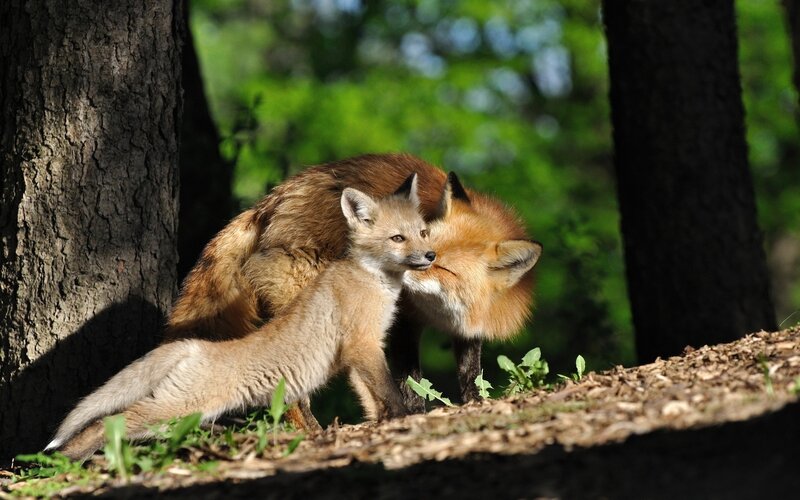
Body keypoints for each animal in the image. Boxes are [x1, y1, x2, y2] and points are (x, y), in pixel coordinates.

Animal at [46, 175, 434, 460]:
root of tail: (194, 346)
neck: (371, 279)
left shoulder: (355, 354)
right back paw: (63, 460)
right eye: (397, 238)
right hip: (179, 405)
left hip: (183, 413)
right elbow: (389, 392)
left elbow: (371, 398)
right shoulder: (362, 344)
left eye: (422, 232)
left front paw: (378, 424)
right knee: (107, 422)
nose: (430, 255)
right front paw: (406, 419)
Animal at [164, 153, 541, 429]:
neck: (443, 312)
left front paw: (475, 403)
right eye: (421, 242)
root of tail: (271, 200)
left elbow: (469, 373)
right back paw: (312, 433)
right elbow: (411, 381)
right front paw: (416, 414)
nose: (403, 270)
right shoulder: (403, 321)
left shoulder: (468, 329)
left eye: (444, 267)